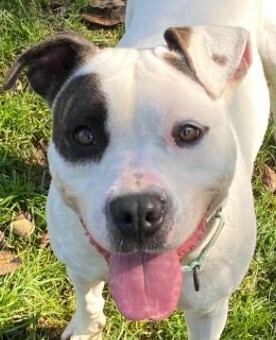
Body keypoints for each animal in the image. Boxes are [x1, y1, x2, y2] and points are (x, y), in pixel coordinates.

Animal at [2, 0, 276, 340]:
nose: (136, 211)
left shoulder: (208, 311)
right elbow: (87, 298)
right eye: (84, 136)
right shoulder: (78, 263)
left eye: (188, 132)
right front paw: (86, 327)